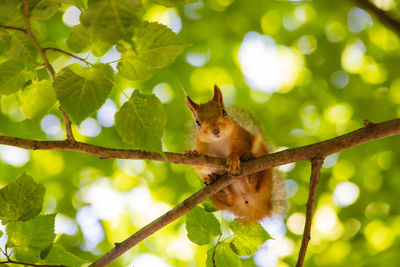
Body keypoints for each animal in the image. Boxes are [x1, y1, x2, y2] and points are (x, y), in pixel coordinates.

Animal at [184, 85, 284, 223]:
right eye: (197, 122)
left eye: (224, 112)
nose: (215, 131)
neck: (219, 141)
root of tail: (259, 210)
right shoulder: (202, 146)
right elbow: (200, 165)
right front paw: (192, 153)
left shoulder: (242, 136)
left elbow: (240, 149)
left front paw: (233, 158)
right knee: (228, 201)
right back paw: (217, 185)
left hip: (265, 171)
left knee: (257, 186)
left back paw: (252, 172)